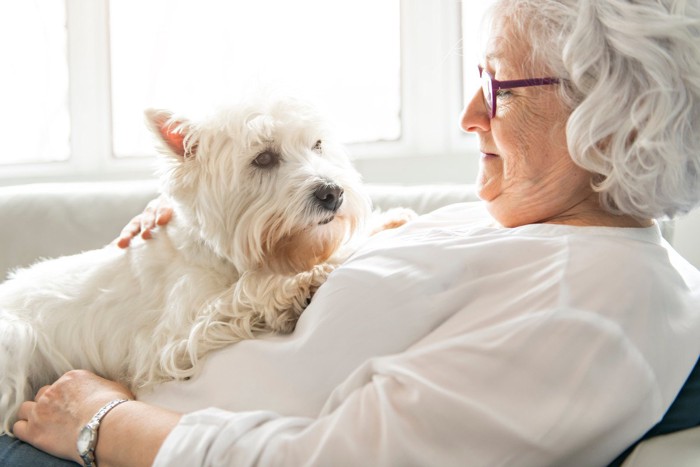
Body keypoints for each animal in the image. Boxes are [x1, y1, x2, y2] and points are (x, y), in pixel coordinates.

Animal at [0, 96, 412, 436]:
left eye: (318, 144)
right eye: (263, 158)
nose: (333, 193)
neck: (218, 252)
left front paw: (386, 222)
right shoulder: (172, 340)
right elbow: (245, 292)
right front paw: (303, 279)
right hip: (15, 339)